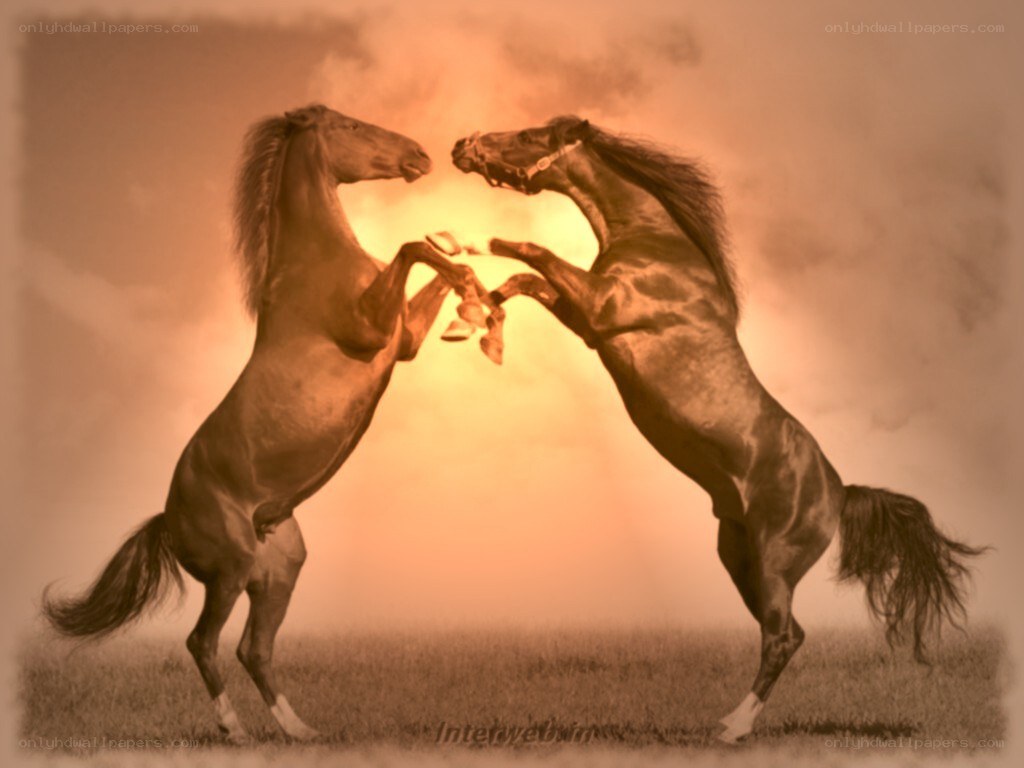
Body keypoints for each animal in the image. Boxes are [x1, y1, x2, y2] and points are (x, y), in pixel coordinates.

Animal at [41, 104, 498, 743]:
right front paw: (470, 294)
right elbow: (413, 248)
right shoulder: (372, 330)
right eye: (350, 127)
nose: (419, 155)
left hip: (279, 573)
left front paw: (476, 294)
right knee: (203, 643)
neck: (314, 264)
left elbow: (429, 264)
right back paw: (235, 731)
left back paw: (300, 731)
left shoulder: (402, 340)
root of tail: (168, 517)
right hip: (229, 571)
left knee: (253, 650)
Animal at [451, 117, 987, 743]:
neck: (656, 246)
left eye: (530, 136)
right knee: (786, 633)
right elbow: (522, 281)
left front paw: (468, 245)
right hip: (739, 558)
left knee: (783, 637)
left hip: (775, 561)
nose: (462, 146)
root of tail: (838, 492)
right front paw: (477, 322)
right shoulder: (588, 322)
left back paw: (733, 727)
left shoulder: (603, 308)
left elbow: (530, 251)